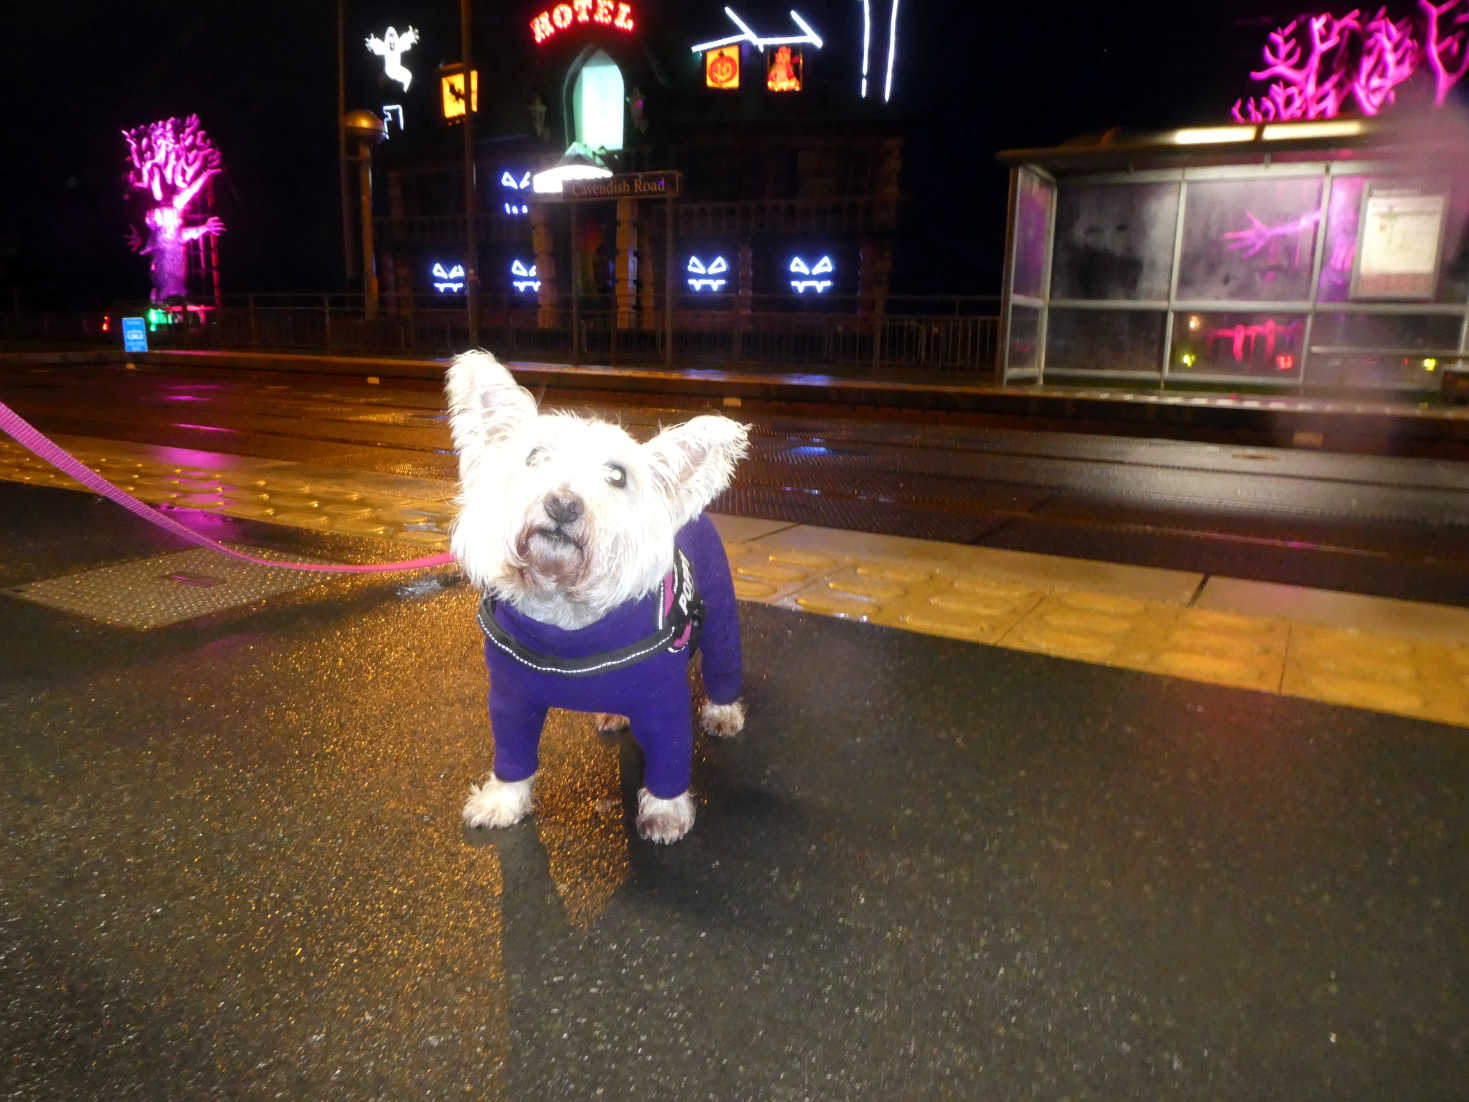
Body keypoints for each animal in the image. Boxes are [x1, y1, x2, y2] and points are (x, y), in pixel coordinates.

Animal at [443, 354, 746, 846]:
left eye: (617, 475)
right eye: (534, 457)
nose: (563, 505)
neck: (566, 622)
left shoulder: (663, 702)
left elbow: (670, 761)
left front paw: (664, 813)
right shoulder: (510, 698)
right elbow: (512, 756)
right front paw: (503, 801)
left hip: (722, 619)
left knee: (724, 669)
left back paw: (724, 713)